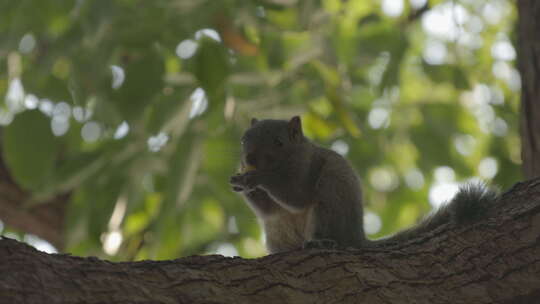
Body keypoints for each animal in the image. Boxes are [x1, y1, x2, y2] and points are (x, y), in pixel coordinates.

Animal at [228, 115, 498, 253]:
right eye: (243, 139)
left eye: (279, 142)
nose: (249, 160)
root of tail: (357, 236)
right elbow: (268, 211)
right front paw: (238, 180)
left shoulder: (306, 168)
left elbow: (296, 196)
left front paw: (255, 178)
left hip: (329, 205)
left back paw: (319, 241)